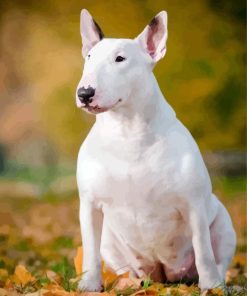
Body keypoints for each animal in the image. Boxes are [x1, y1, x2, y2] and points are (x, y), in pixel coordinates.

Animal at [75, 8, 235, 292]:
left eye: (120, 58)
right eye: (89, 57)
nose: (84, 93)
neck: (128, 133)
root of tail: (163, 274)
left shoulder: (193, 205)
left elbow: (203, 250)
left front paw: (211, 287)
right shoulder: (90, 205)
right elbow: (90, 252)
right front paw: (89, 286)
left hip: (224, 224)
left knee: (217, 259)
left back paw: (217, 283)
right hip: (111, 243)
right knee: (124, 268)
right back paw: (129, 283)